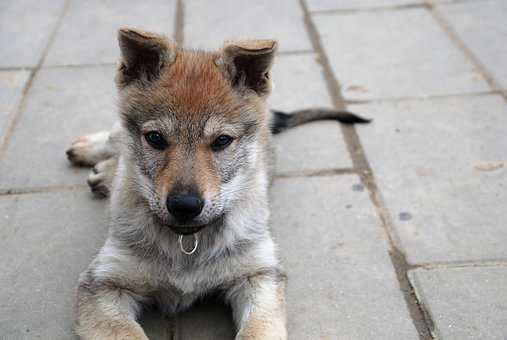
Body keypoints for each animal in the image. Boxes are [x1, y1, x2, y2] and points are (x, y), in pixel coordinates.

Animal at [67, 27, 370, 338]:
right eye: (155, 138)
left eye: (222, 141)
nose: (184, 206)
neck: (188, 244)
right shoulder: (103, 283)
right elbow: (129, 333)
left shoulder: (259, 275)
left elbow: (257, 330)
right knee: (117, 138)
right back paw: (91, 153)